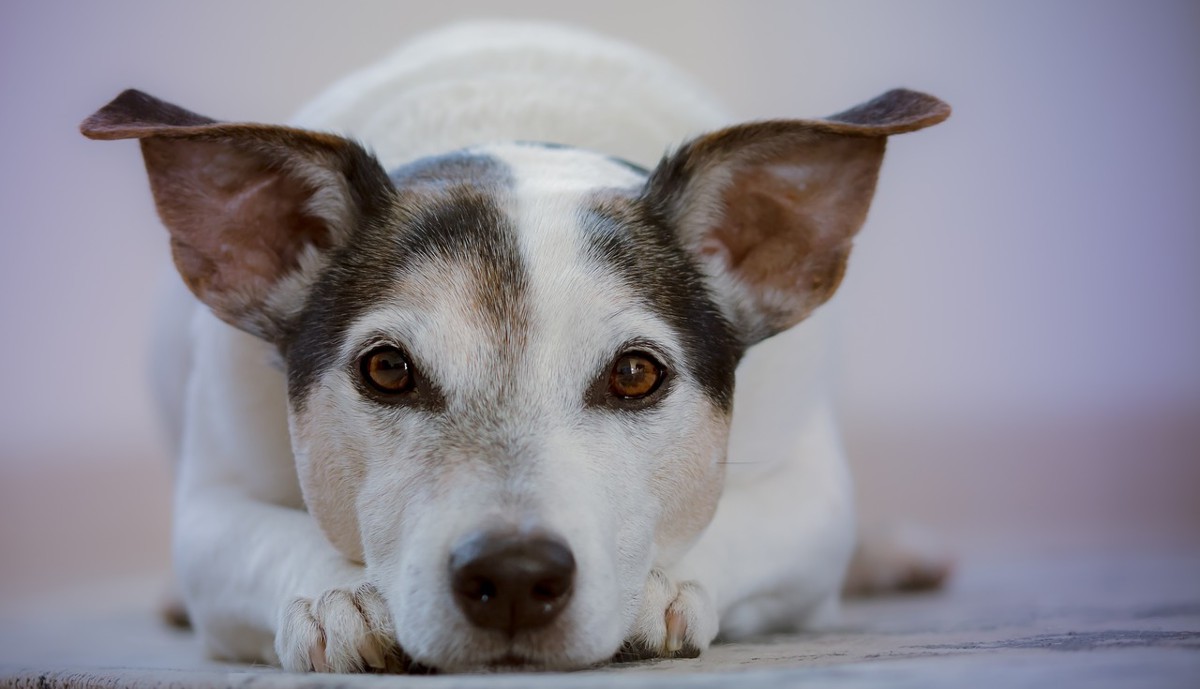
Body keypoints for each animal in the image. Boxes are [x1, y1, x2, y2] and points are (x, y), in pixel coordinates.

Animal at [79, 21, 950, 676]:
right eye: (386, 369)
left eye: (636, 374)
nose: (516, 574)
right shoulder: (211, 502)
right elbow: (261, 538)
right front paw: (340, 595)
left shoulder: (812, 493)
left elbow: (741, 521)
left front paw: (657, 586)